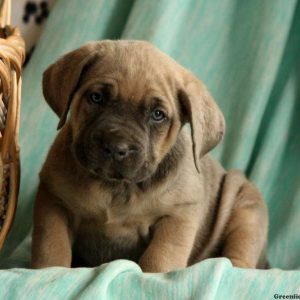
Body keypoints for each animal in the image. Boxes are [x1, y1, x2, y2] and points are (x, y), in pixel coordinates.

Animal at [31, 40, 268, 272]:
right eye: (96, 98)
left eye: (157, 115)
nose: (116, 146)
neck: (115, 186)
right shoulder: (53, 201)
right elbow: (52, 247)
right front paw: (49, 269)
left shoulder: (178, 216)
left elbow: (159, 258)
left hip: (246, 205)